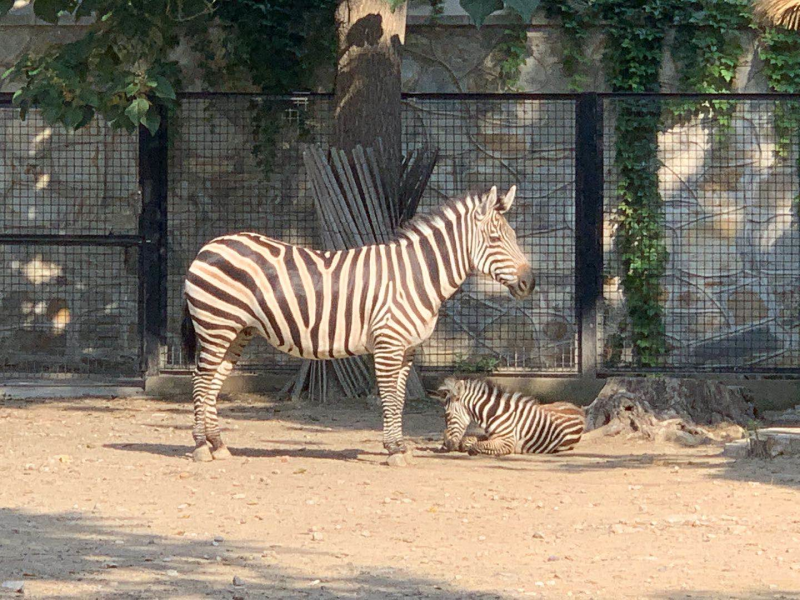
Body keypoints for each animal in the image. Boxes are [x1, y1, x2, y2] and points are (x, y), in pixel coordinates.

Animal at [180, 188, 532, 464]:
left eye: (514, 237)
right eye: (496, 238)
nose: (530, 282)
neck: (417, 276)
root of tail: (208, 246)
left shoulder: (407, 349)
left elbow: (399, 398)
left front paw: (398, 446)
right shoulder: (389, 343)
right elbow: (389, 397)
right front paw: (394, 450)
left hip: (237, 332)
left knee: (213, 382)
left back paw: (218, 444)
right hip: (216, 325)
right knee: (201, 380)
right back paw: (200, 447)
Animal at [434, 378, 584, 458]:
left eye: (447, 414)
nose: (448, 445)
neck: (495, 414)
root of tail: (578, 409)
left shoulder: (507, 442)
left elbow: (475, 446)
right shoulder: (490, 436)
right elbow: (468, 440)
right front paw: (461, 444)